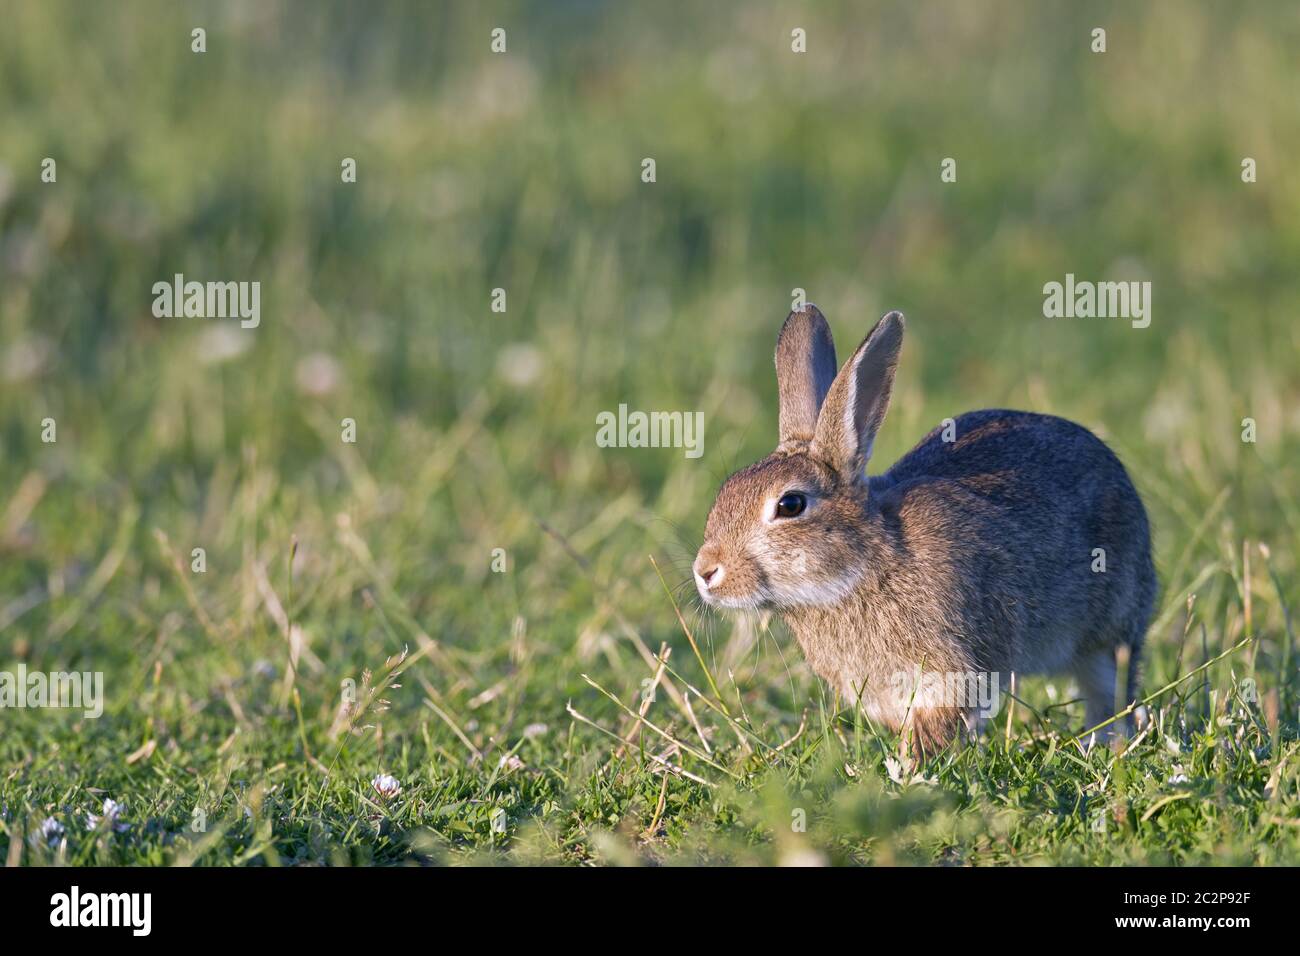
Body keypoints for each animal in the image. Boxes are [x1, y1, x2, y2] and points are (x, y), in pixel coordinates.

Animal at [696, 306, 1154, 754]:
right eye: (725, 490)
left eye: (790, 505)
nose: (705, 572)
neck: (865, 565)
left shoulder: (949, 670)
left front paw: (913, 766)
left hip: (1108, 630)